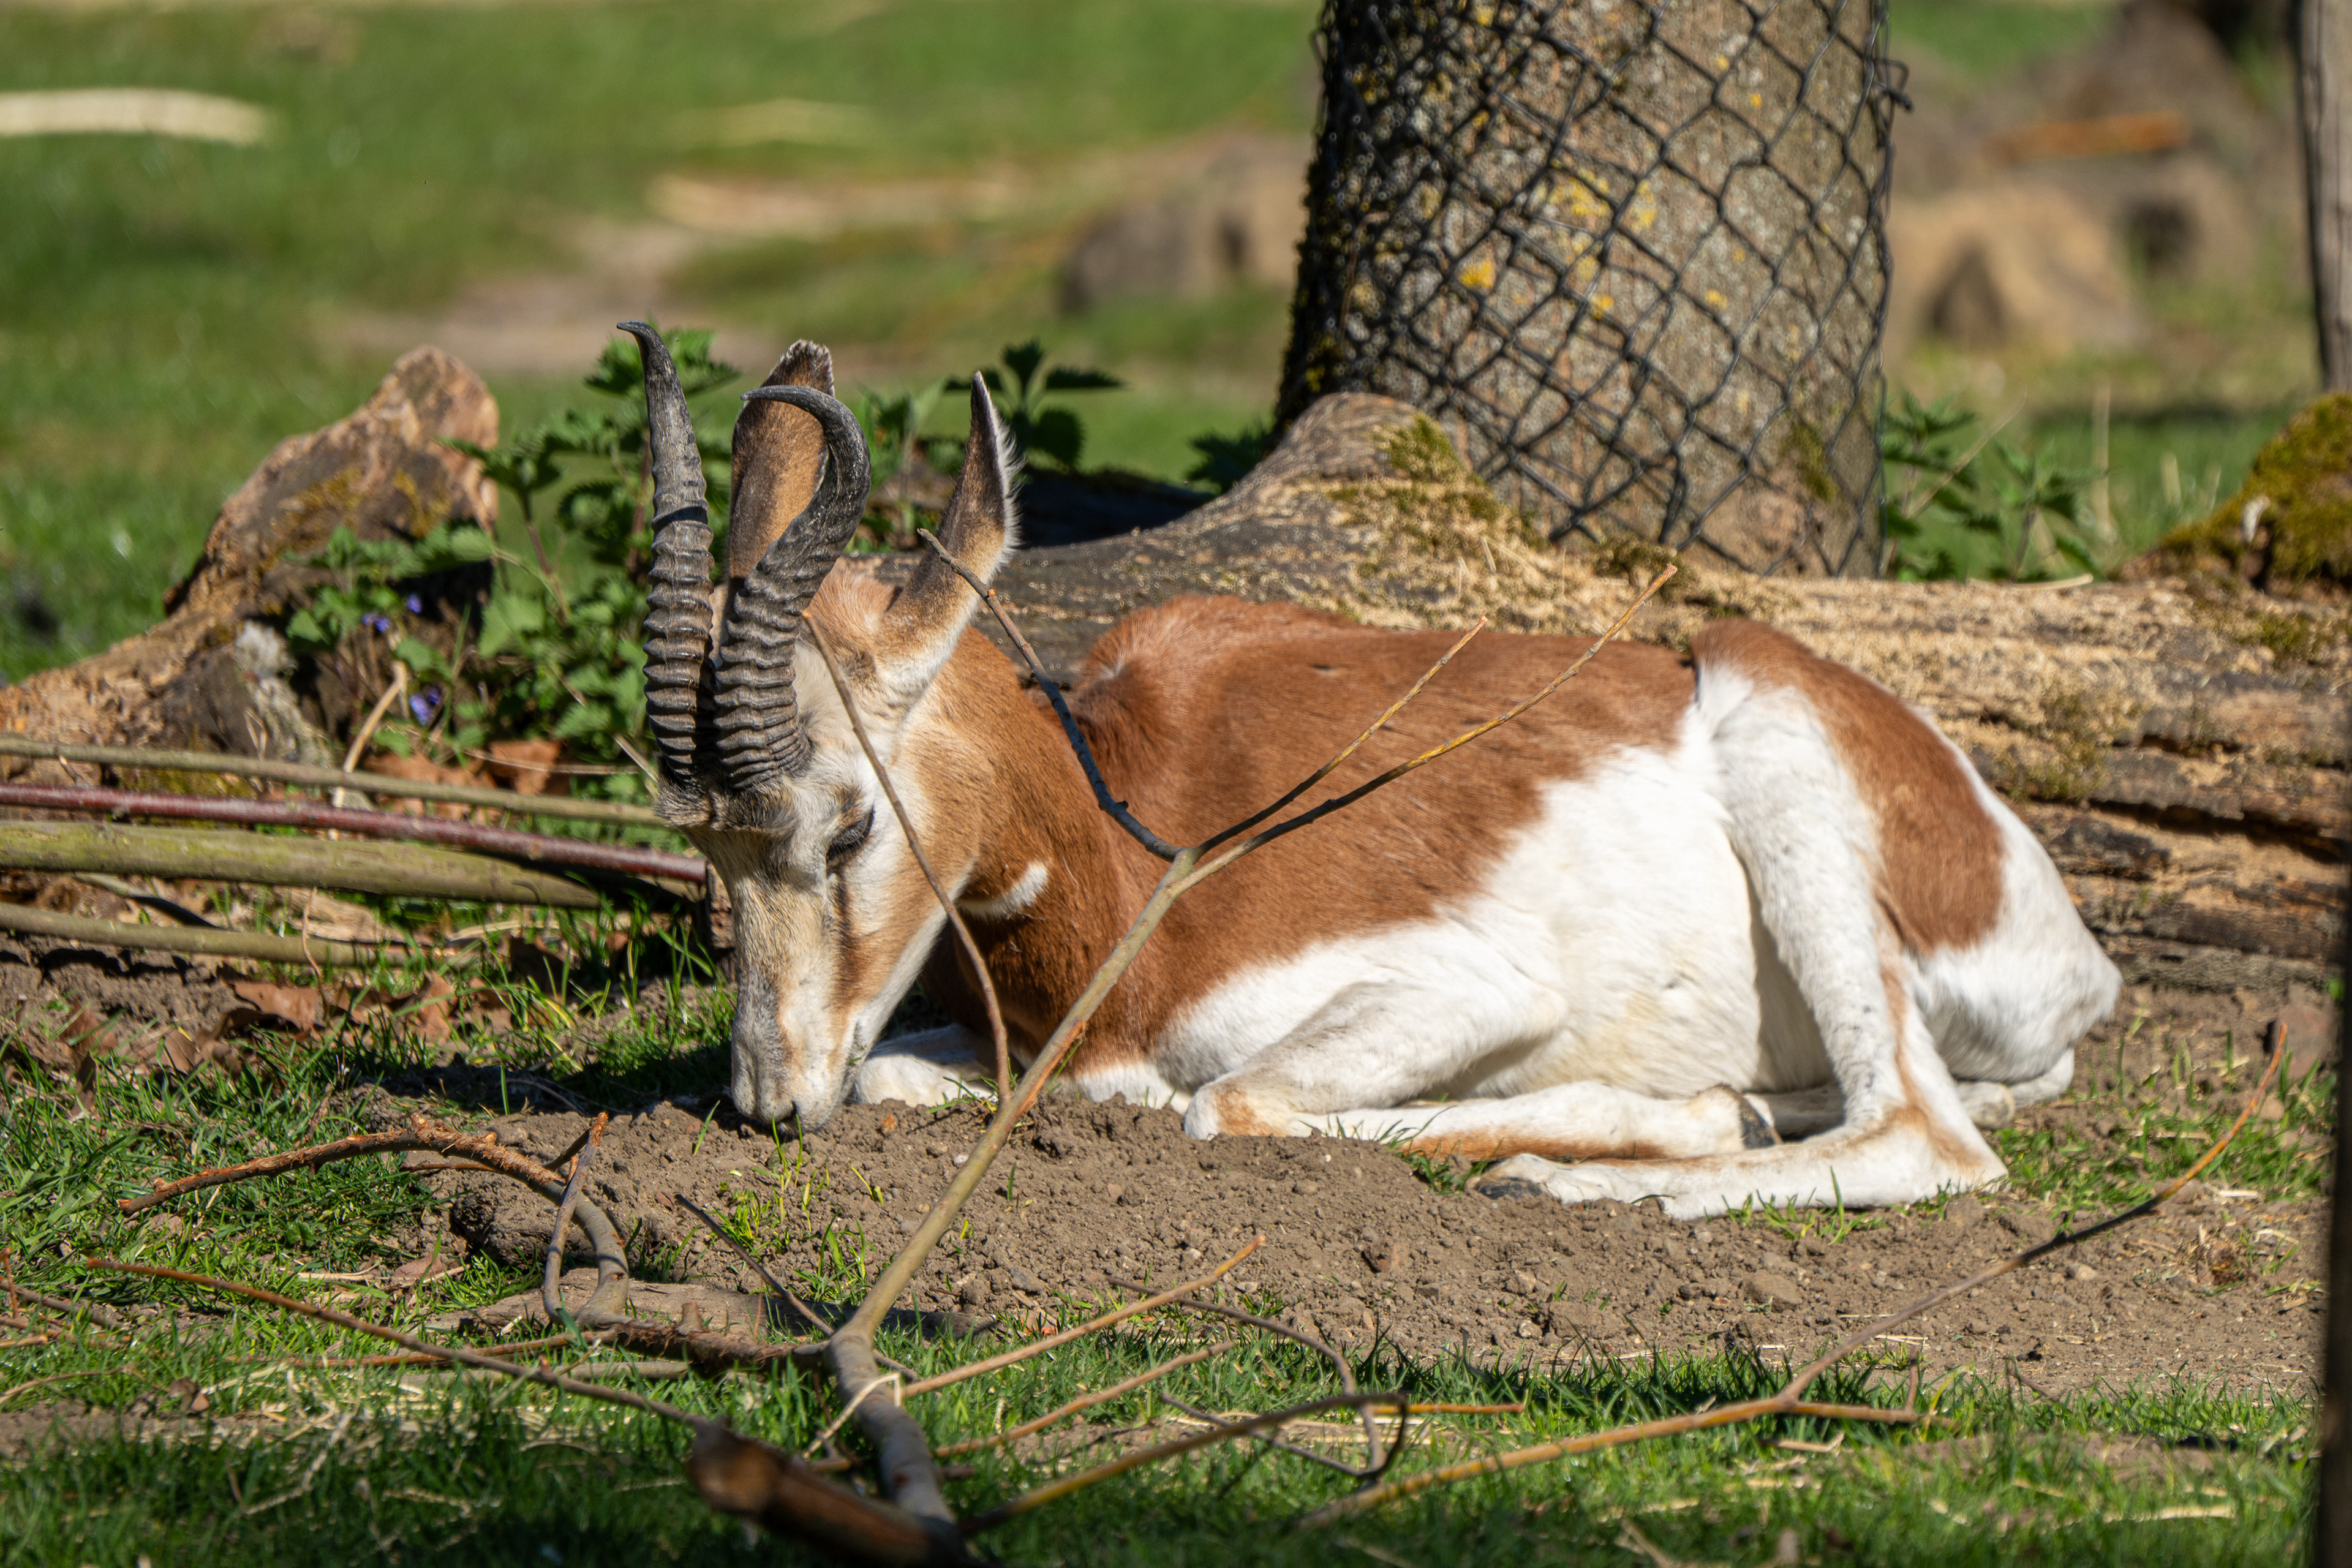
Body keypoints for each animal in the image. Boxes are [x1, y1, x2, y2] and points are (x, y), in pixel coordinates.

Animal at [622, 323, 2120, 1219]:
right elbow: (896, 1075)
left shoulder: (1461, 991)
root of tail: (2073, 949)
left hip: (1781, 745)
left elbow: (1220, 1102)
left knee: (1925, 1136)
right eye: (706, 849)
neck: (1124, 858)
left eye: (847, 828)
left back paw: (1592, 1171)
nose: (768, 1104)